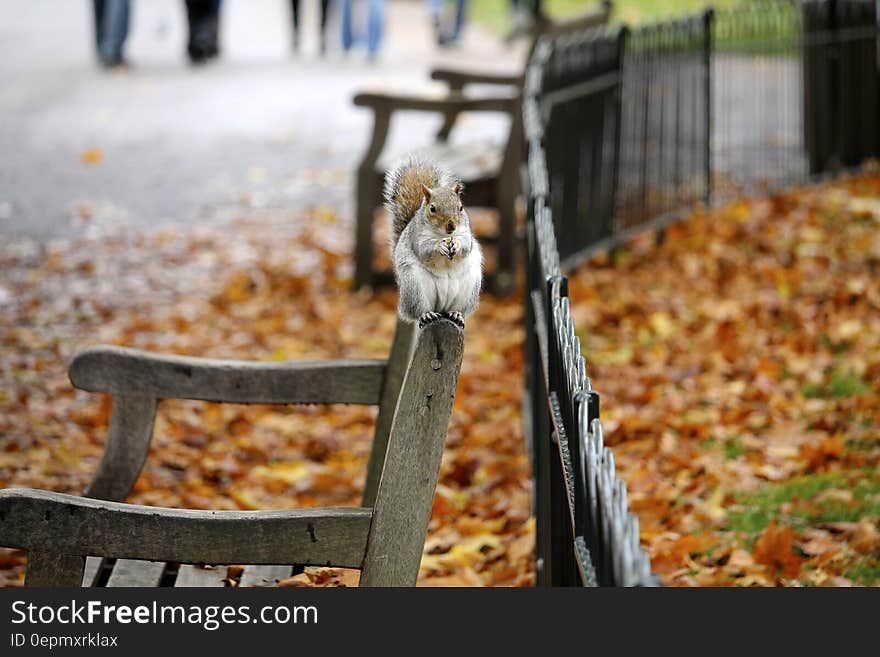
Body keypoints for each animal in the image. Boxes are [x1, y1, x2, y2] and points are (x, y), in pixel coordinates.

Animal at [384, 157, 482, 330]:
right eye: (433, 209)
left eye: (461, 207)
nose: (451, 226)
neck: (443, 235)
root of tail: (442, 308)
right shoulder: (417, 236)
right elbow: (424, 250)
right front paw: (439, 246)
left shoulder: (466, 233)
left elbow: (466, 245)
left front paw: (456, 244)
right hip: (414, 286)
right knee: (418, 311)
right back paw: (427, 315)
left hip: (470, 287)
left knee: (460, 309)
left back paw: (457, 314)